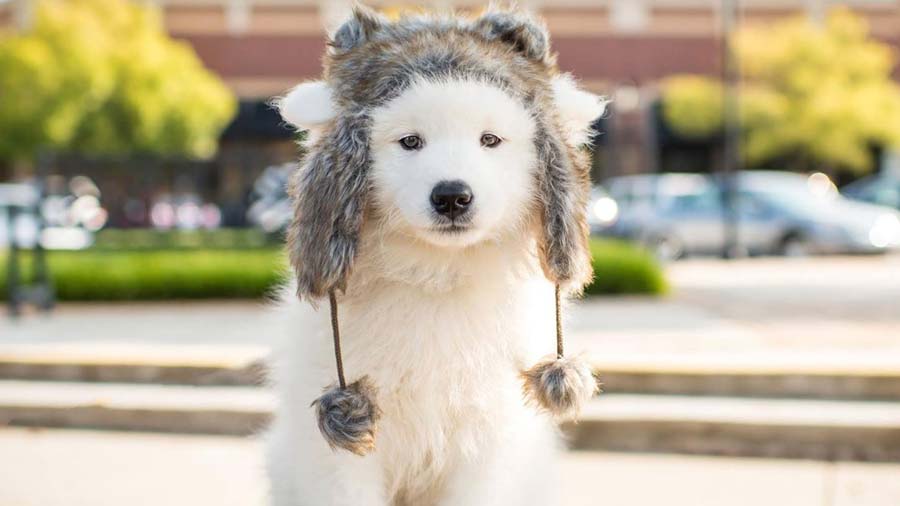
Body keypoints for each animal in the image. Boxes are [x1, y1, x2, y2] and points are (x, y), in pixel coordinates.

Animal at [264, 7, 608, 506]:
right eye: (410, 142)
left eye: (490, 140)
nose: (451, 196)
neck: (438, 276)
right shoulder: (341, 454)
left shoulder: (488, 437)